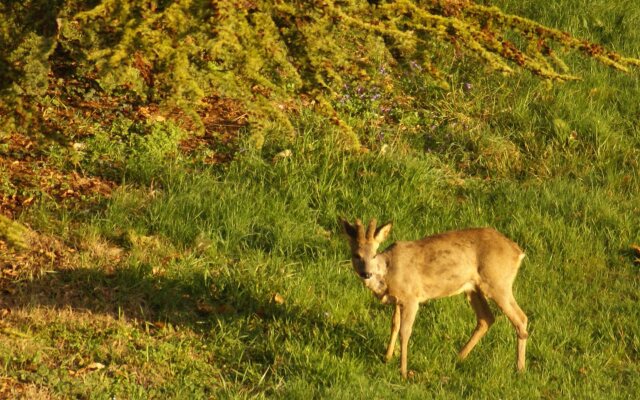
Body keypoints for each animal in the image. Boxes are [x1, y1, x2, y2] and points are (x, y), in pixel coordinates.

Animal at [342, 219, 528, 378]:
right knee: (486, 318)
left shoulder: (411, 297)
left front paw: (403, 372)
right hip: (473, 288)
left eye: (374, 255)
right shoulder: (398, 300)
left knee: (520, 318)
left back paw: (520, 369)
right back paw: (458, 357)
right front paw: (387, 358)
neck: (387, 273)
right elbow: (394, 325)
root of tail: (518, 252)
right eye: (356, 255)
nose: (366, 273)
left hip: (498, 282)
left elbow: (405, 331)